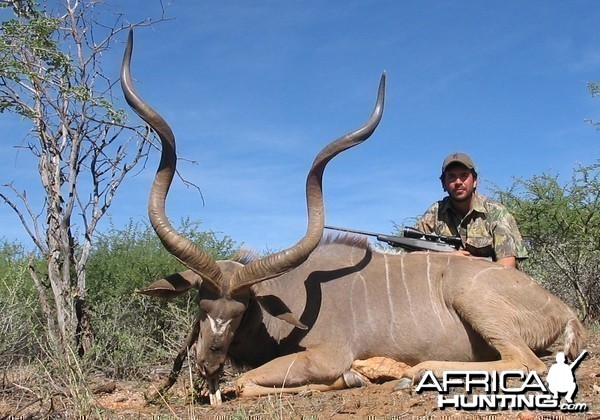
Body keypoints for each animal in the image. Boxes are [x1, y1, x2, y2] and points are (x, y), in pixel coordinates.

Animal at [120, 31, 584, 406]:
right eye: (202, 304)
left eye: (241, 308)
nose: (208, 366)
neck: (287, 295)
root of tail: (565, 313)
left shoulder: (326, 354)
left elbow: (251, 381)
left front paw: (353, 377)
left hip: (472, 300)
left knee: (526, 362)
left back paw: (412, 374)